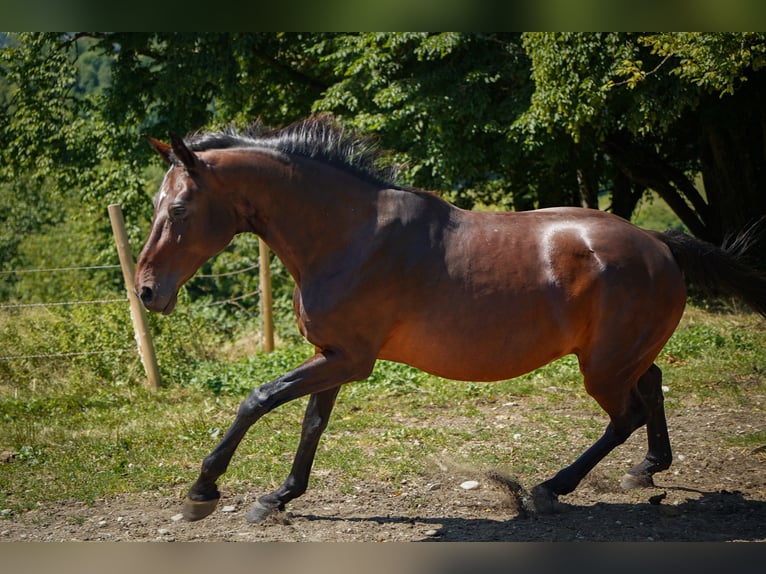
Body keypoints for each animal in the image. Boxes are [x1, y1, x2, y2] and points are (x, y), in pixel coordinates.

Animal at [135, 114, 766, 524]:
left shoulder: (349, 360)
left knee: (627, 415)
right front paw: (279, 497)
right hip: (619, 356)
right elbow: (312, 423)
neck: (348, 235)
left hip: (603, 368)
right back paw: (647, 469)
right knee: (653, 386)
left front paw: (202, 491)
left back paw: (548, 488)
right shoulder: (333, 356)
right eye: (156, 205)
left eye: (179, 208)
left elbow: (257, 400)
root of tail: (660, 243)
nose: (146, 291)